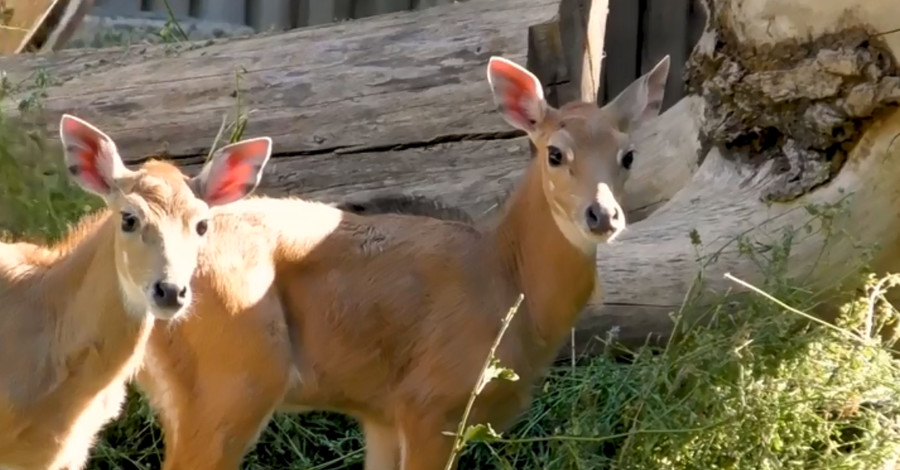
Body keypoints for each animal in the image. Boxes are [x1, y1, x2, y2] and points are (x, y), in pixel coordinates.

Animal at [139, 55, 668, 470]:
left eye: (629, 155)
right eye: (555, 153)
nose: (603, 215)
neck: (505, 277)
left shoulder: (382, 413)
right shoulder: (431, 401)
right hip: (234, 379)